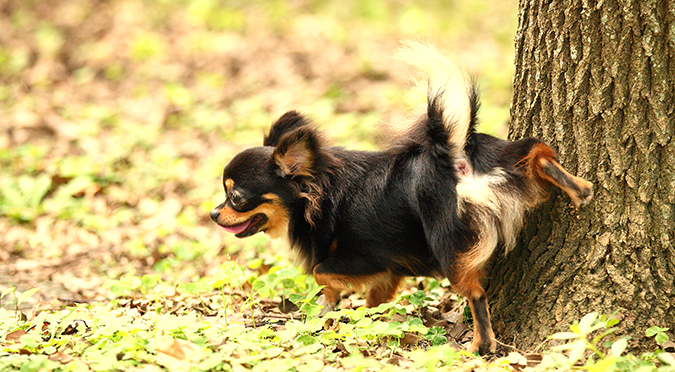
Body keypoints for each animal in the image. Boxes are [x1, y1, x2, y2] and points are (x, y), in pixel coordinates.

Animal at [210, 42, 592, 354]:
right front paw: (362, 320)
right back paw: (580, 188)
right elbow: (372, 300)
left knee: (476, 294)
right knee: (538, 153)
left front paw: (330, 308)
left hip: (449, 248)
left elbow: (321, 273)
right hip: (508, 157)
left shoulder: (363, 258)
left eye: (236, 197)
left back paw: (481, 345)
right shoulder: (388, 270)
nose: (214, 214)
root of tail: (452, 154)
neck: (319, 193)